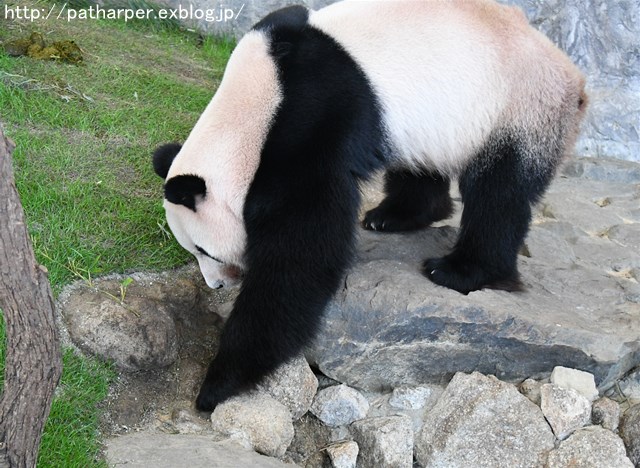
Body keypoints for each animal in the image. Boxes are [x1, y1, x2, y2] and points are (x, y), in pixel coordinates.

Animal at [150, 0, 584, 410]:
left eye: (205, 250)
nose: (218, 284)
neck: (254, 104)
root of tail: (572, 74)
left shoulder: (312, 121)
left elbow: (302, 255)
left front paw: (218, 383)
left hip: (521, 105)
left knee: (499, 192)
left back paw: (459, 271)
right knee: (422, 163)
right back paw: (394, 217)